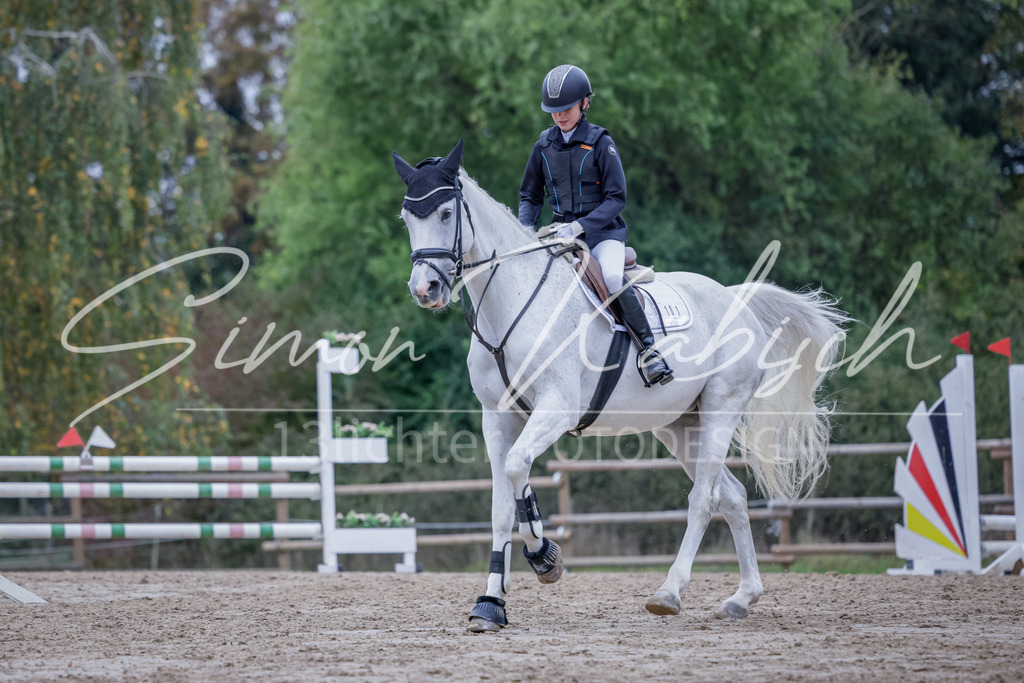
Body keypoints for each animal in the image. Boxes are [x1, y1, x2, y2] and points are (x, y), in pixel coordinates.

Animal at [393, 139, 848, 633]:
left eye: (445, 213)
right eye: (407, 217)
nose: (426, 288)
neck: (510, 304)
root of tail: (734, 297)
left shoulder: (556, 409)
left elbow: (516, 470)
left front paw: (544, 556)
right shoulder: (498, 418)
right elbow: (501, 504)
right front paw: (491, 603)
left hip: (721, 408)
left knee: (705, 498)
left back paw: (669, 592)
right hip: (679, 425)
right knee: (733, 496)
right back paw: (741, 598)